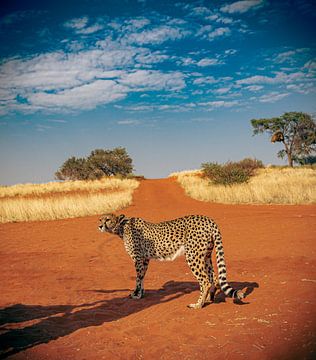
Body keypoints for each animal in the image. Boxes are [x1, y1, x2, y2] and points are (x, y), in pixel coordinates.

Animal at [99, 214, 244, 310]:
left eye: (108, 219)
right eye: (100, 219)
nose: (99, 225)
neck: (122, 227)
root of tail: (208, 219)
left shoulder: (138, 258)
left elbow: (138, 278)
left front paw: (137, 295)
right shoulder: (145, 259)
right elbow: (142, 277)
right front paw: (141, 293)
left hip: (193, 256)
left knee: (205, 280)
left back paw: (198, 305)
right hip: (205, 255)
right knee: (213, 277)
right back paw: (209, 299)